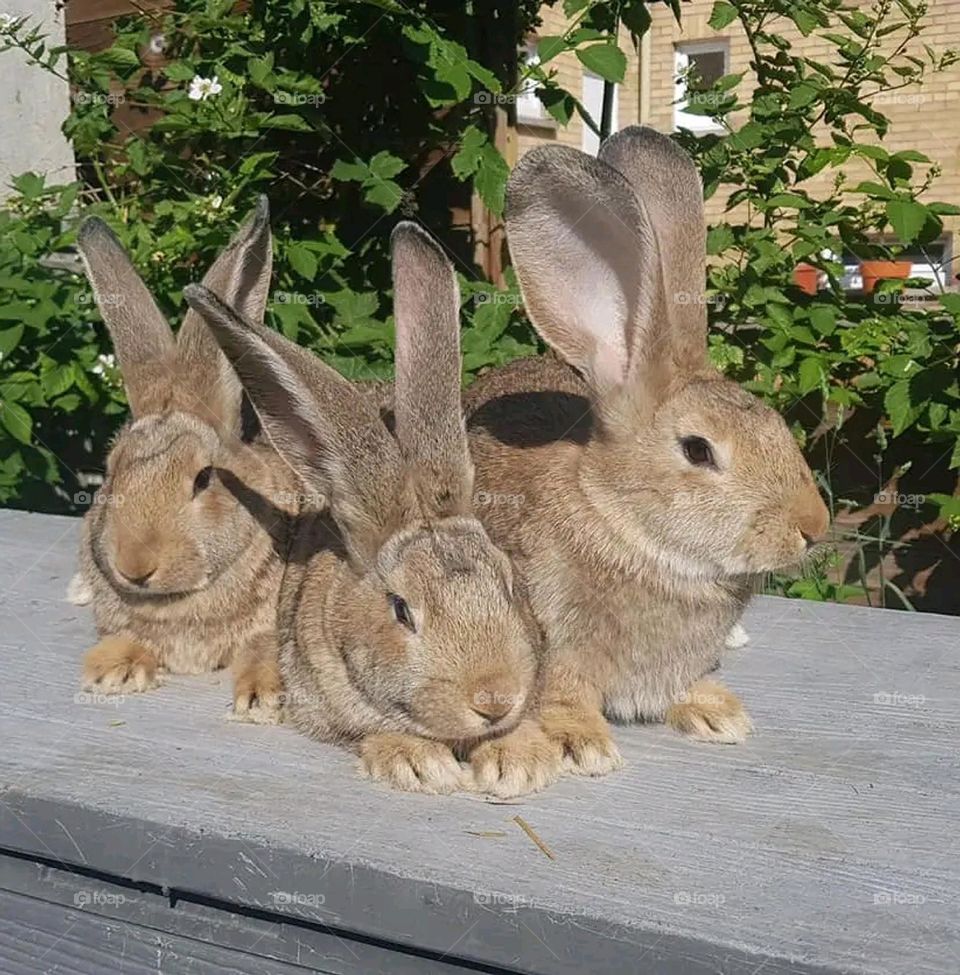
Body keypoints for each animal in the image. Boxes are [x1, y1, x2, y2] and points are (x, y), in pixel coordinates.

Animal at [73, 197, 300, 723]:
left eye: (203, 479)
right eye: (110, 473)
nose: (134, 566)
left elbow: (263, 649)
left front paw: (261, 699)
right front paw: (111, 671)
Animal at [463, 126, 830, 774]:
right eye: (698, 451)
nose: (813, 527)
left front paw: (717, 712)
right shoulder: (552, 644)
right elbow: (561, 692)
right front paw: (580, 743)